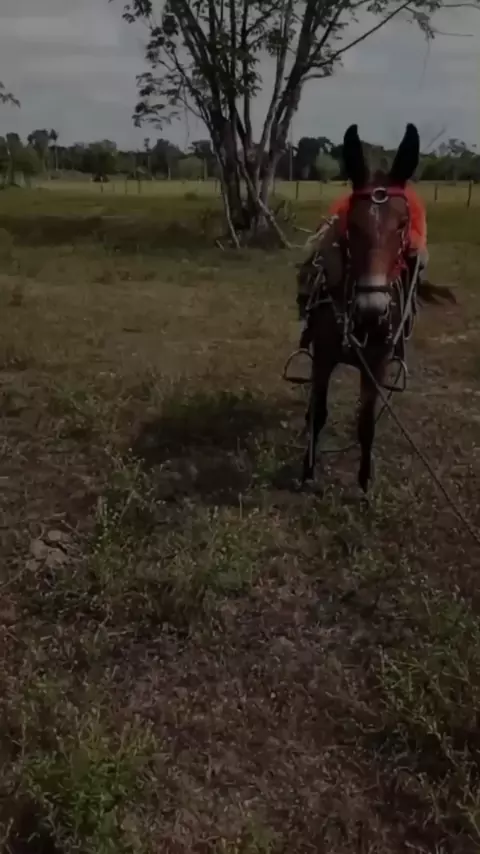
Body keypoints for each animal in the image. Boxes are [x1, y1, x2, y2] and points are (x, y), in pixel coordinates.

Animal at [300, 123, 455, 493]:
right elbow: (318, 413)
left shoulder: (375, 364)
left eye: (402, 224)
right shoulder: (323, 357)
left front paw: (364, 481)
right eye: (352, 225)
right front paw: (308, 470)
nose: (373, 309)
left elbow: (366, 423)